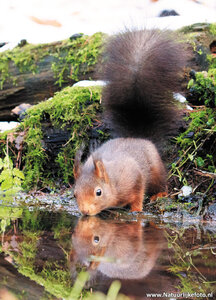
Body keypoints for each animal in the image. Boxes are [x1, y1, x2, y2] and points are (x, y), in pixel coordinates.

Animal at [73, 28, 187, 216]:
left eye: (98, 192)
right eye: (74, 193)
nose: (85, 212)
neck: (112, 181)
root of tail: (138, 137)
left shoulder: (135, 177)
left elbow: (139, 193)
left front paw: (136, 209)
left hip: (156, 169)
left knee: (161, 183)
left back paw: (160, 194)